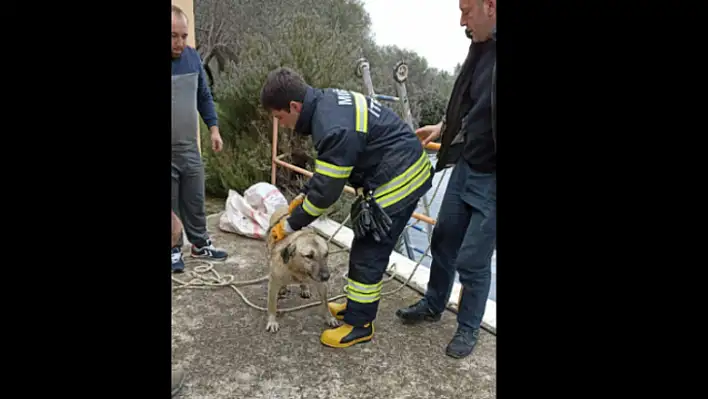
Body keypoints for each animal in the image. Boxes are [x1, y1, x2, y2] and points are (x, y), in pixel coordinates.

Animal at [266, 206, 342, 334]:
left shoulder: (321, 285)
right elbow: (272, 304)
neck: (298, 270)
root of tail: (285, 207)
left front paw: (329, 317)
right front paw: (272, 321)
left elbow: (325, 303)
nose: (326, 277)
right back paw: (284, 287)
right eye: (309, 256)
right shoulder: (273, 282)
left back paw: (304, 287)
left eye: (326, 254)